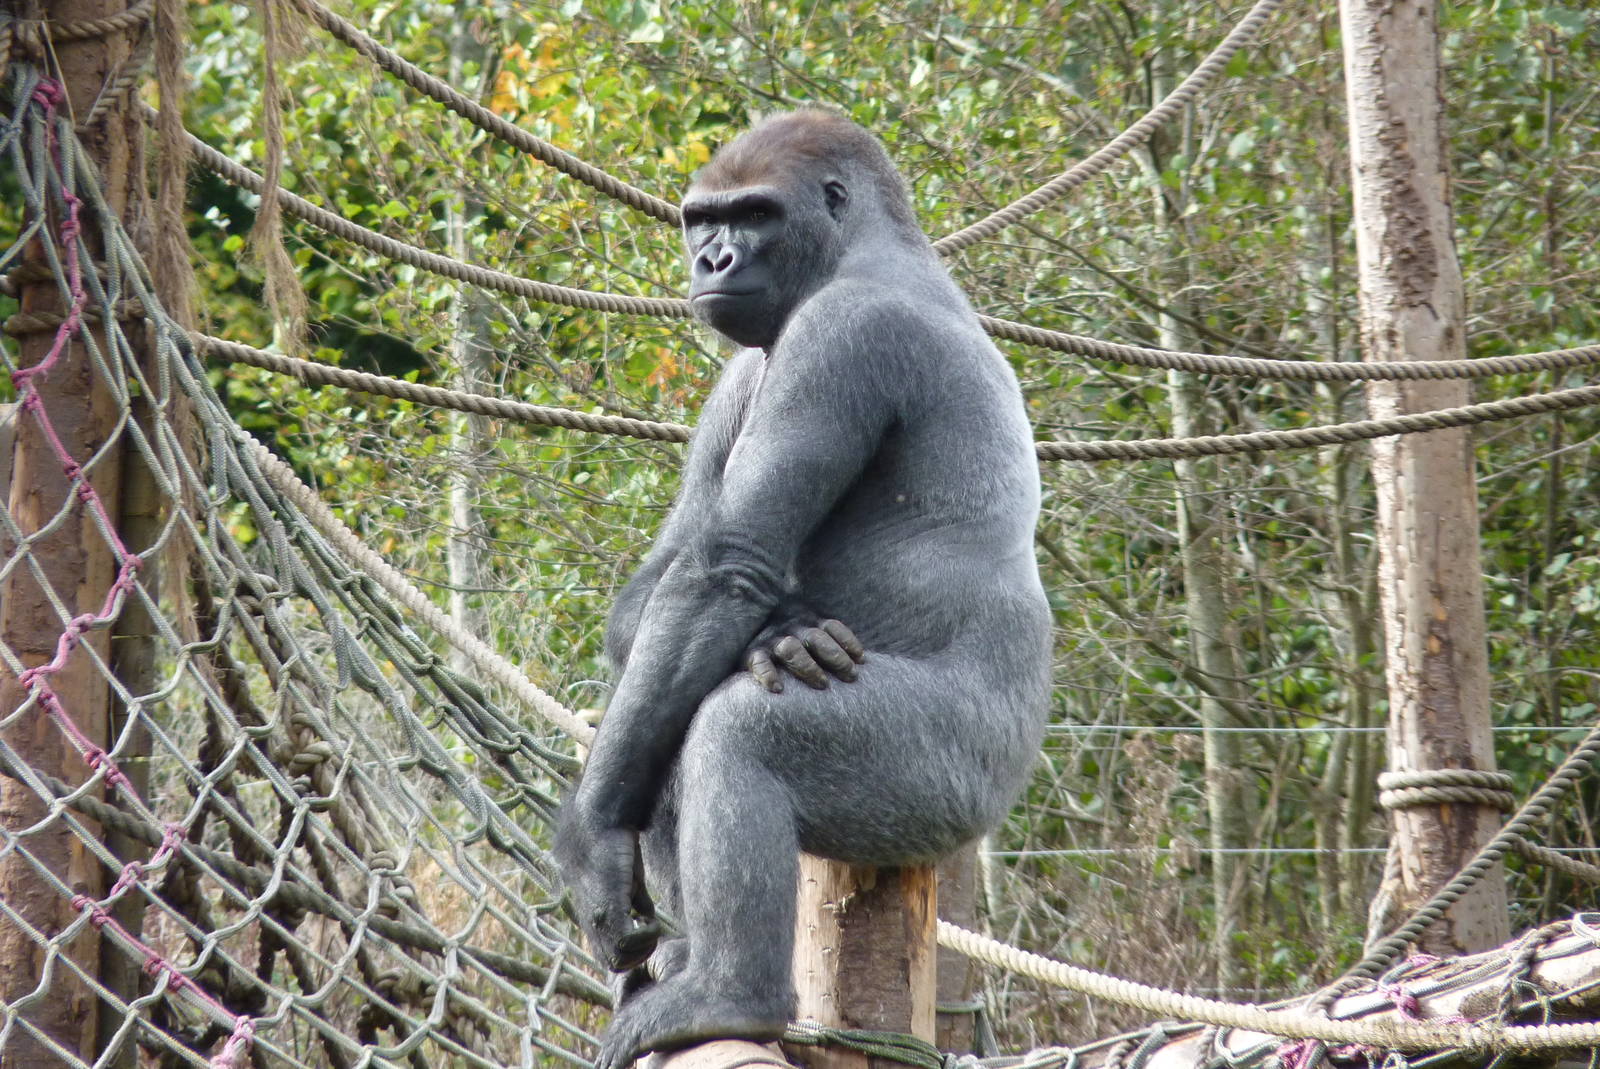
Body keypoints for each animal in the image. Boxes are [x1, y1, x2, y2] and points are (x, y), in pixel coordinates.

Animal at [554, 109, 1052, 1069]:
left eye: (755, 215)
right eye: (701, 220)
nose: (713, 260)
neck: (867, 249)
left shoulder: (839, 334)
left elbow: (724, 565)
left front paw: (589, 840)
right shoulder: (747, 362)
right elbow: (670, 575)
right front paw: (779, 633)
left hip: (955, 786)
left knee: (737, 730)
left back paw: (731, 992)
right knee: (669, 699)